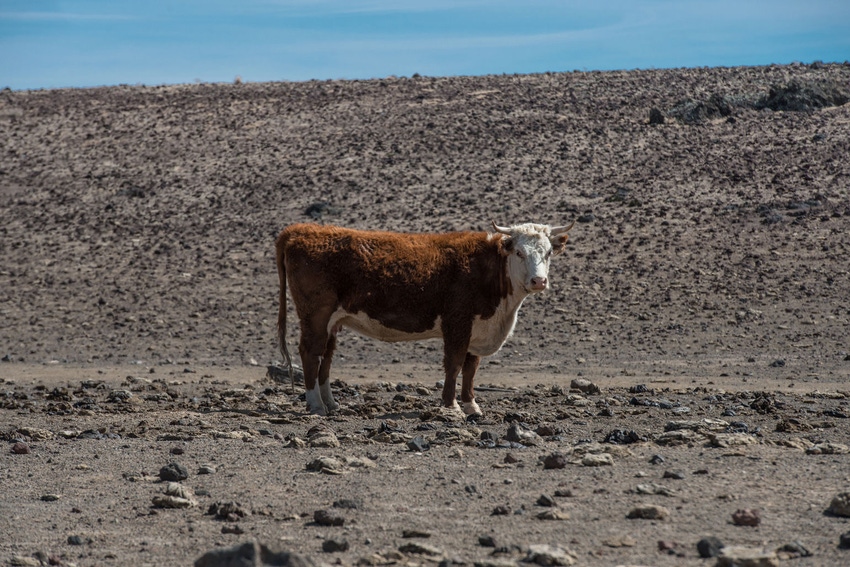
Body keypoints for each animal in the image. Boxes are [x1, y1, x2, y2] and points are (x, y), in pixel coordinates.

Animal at [274, 222, 572, 418]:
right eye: (519, 253)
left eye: (547, 253)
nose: (538, 281)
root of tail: (300, 229)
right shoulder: (457, 323)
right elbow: (454, 365)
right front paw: (451, 406)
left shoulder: (477, 328)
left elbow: (471, 369)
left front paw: (471, 405)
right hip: (315, 315)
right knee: (310, 353)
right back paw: (316, 405)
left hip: (333, 322)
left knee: (326, 357)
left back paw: (332, 404)